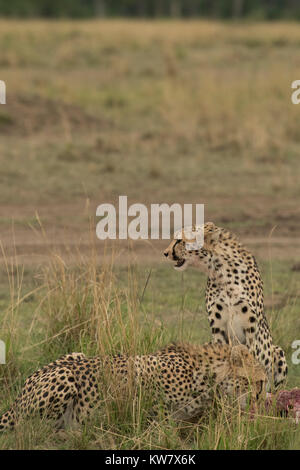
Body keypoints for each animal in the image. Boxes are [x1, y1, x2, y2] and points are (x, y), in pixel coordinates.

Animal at [0, 344, 266, 432]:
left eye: (262, 383)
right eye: (255, 381)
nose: (258, 399)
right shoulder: (142, 367)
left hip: (76, 354)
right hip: (64, 375)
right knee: (30, 430)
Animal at [164, 223, 288, 390]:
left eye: (179, 240)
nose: (165, 253)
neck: (221, 270)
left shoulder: (251, 330)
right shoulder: (218, 329)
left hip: (278, 351)